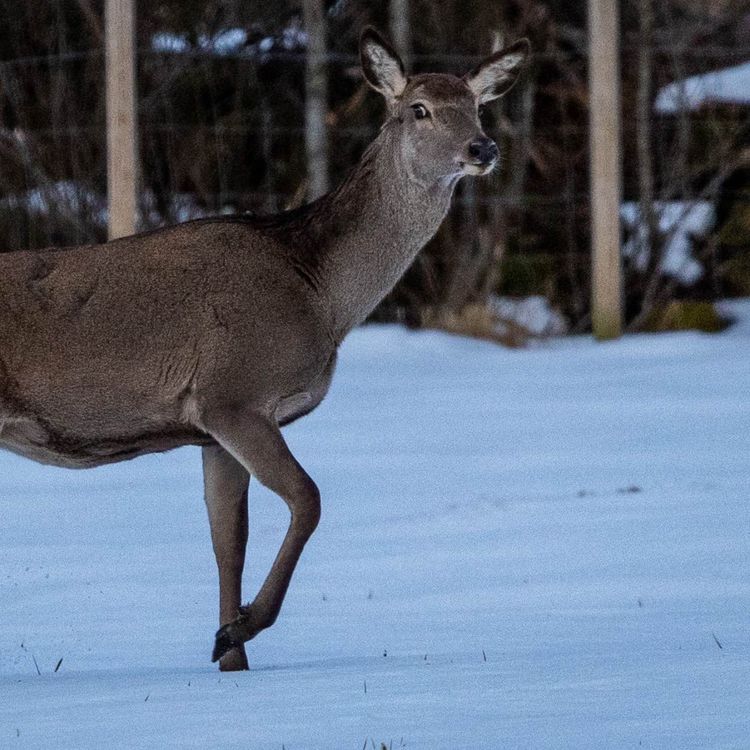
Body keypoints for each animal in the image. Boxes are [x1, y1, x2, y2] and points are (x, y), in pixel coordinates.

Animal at [0, 30, 528, 676]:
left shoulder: (208, 427)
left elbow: (229, 540)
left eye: (477, 107)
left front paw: (232, 654)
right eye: (419, 109)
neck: (319, 292)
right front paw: (240, 628)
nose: (483, 147)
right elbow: (308, 499)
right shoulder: (235, 392)